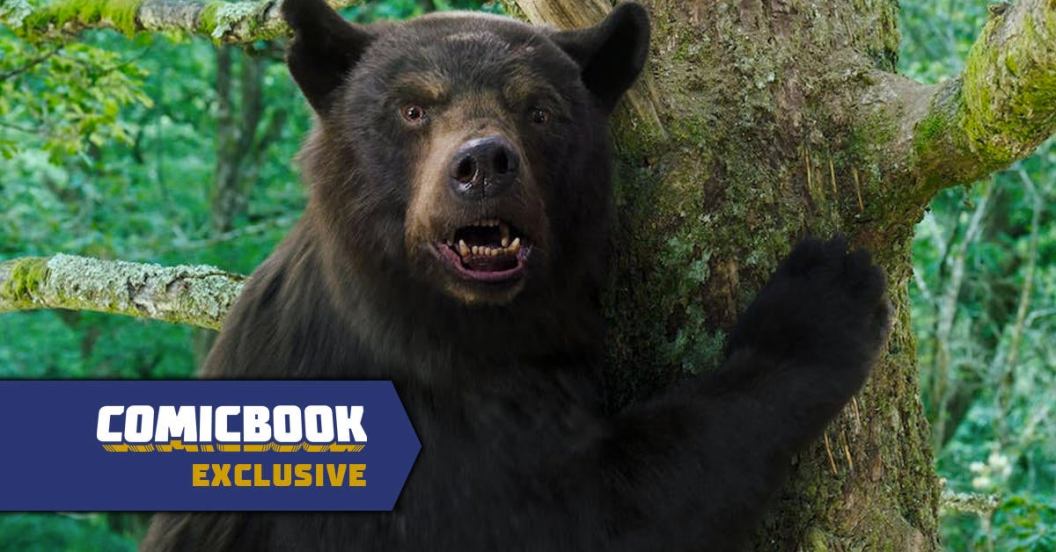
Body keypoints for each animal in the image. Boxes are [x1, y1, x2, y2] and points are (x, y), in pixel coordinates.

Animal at [142, 1, 890, 550]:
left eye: (539, 109)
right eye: (412, 108)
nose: (483, 165)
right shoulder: (433, 436)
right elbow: (600, 508)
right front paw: (820, 300)